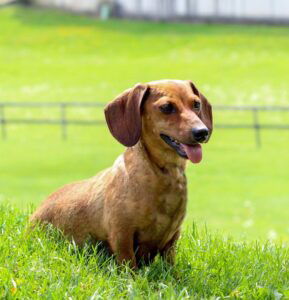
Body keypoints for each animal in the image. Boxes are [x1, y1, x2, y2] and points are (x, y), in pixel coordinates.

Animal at [30, 79, 213, 268]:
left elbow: (170, 264)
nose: (202, 132)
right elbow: (128, 264)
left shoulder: (172, 238)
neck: (163, 175)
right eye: (167, 107)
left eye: (196, 104)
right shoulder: (122, 235)